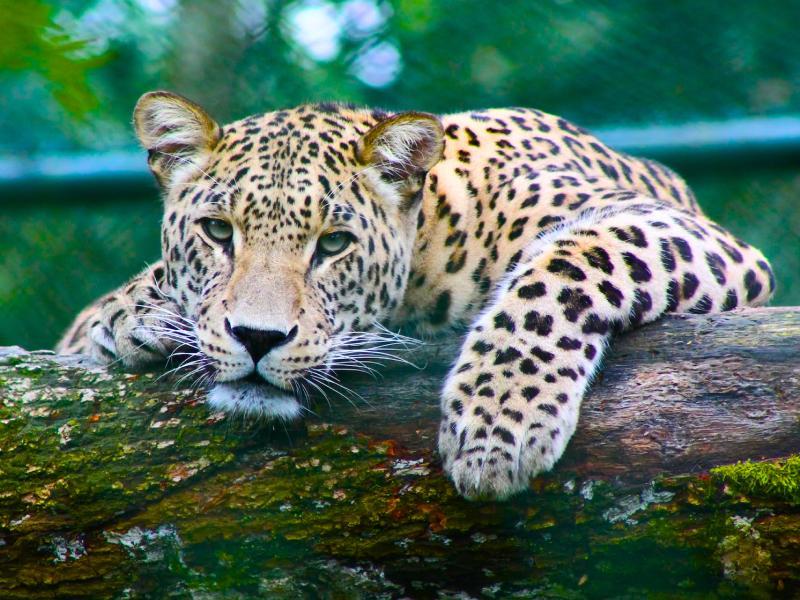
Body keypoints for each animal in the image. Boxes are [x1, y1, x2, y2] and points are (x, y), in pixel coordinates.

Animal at [57, 91, 775, 499]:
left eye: (334, 244)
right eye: (216, 232)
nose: (258, 339)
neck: (435, 237)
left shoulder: (690, 234)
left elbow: (567, 266)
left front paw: (496, 424)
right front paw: (127, 315)